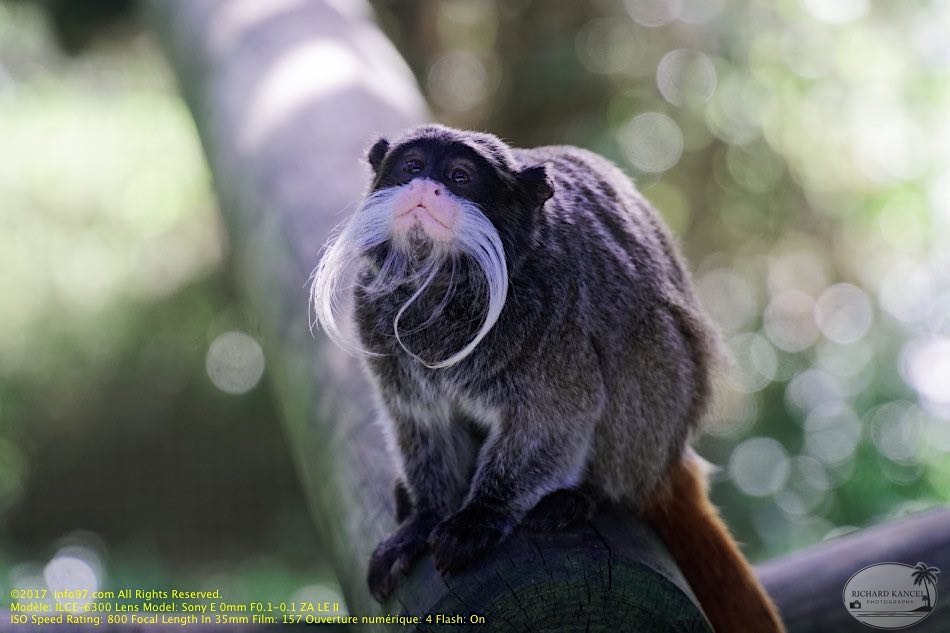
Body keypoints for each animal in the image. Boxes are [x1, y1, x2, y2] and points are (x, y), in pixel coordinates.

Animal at [314, 123, 788, 632]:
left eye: (460, 176)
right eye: (412, 166)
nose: (425, 187)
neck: (441, 286)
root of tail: (671, 459)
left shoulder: (553, 316)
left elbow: (555, 417)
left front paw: (480, 516)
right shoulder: (377, 320)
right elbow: (422, 422)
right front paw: (422, 519)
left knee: (643, 341)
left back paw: (586, 495)